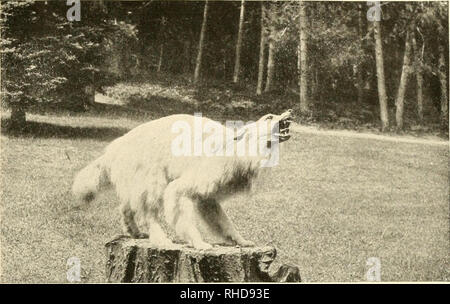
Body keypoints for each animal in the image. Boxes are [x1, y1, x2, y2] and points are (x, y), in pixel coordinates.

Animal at [73, 109, 292, 249]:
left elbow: (223, 221)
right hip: (151, 177)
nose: (290, 111)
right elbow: (182, 209)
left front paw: (240, 240)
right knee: (148, 212)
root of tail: (114, 148)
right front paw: (198, 242)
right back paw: (159, 238)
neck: (240, 148)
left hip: (136, 181)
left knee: (127, 208)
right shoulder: (187, 184)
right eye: (269, 116)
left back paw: (134, 231)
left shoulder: (209, 196)